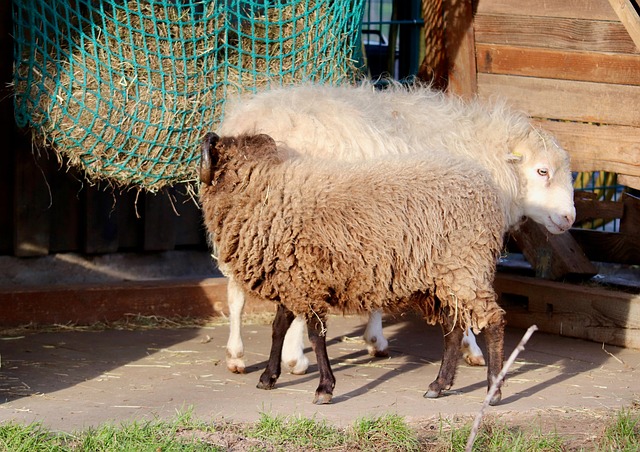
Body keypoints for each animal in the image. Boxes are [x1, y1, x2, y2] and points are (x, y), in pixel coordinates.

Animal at [199, 132, 507, 405]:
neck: (264, 192)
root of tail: (486, 185)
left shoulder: (306, 282)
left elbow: (315, 334)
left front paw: (324, 388)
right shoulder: (291, 276)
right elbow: (278, 328)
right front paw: (268, 378)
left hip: (465, 267)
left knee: (492, 321)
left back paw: (493, 390)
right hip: (446, 278)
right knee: (453, 328)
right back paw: (439, 385)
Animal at [216, 82, 576, 375]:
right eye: (542, 171)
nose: (570, 218)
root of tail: (253, 119)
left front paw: (375, 339)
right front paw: (471, 348)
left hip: (247, 226)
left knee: (234, 293)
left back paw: (236, 355)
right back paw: (295, 359)